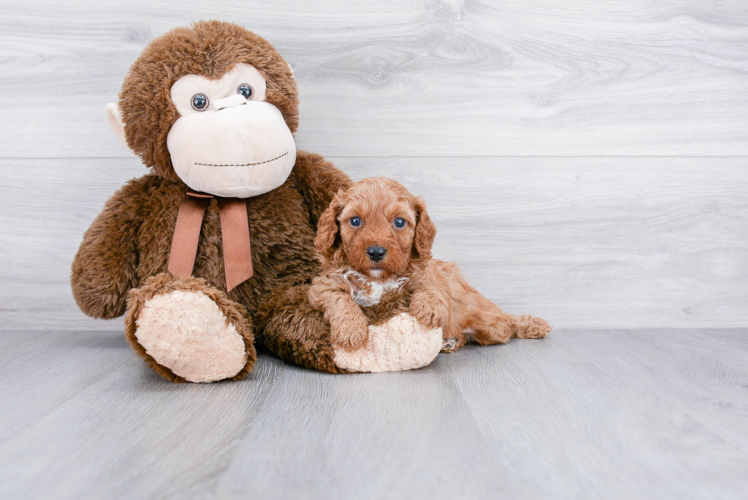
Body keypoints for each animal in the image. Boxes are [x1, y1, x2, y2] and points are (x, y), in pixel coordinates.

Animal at [308, 178, 548, 354]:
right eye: (355, 221)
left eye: (399, 222)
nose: (376, 252)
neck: (378, 278)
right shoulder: (323, 285)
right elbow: (341, 300)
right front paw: (351, 330)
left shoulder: (428, 273)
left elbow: (429, 285)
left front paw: (429, 308)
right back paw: (449, 342)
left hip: (488, 323)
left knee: (506, 325)